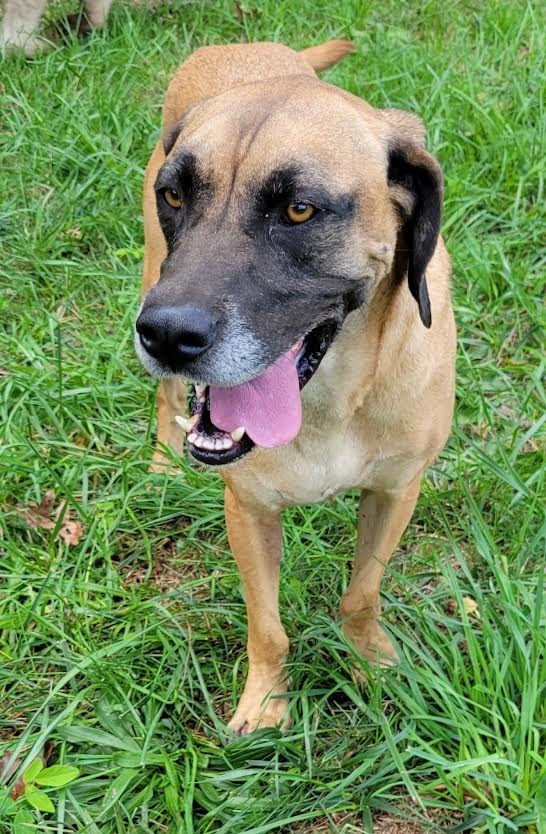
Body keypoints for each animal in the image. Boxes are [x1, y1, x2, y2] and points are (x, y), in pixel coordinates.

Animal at [136, 42, 454, 736]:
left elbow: (362, 594)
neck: (329, 404)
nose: (166, 335)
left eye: (299, 210)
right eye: (175, 195)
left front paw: (372, 664)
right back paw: (163, 463)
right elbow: (268, 628)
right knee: (168, 401)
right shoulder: (249, 510)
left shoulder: (397, 490)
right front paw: (265, 704)